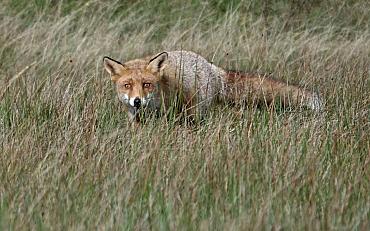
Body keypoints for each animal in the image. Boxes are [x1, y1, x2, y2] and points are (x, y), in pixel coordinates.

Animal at [102, 50, 322, 122]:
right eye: (127, 85)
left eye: (147, 84)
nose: (137, 101)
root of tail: (213, 67)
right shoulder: (136, 120)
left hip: (194, 112)